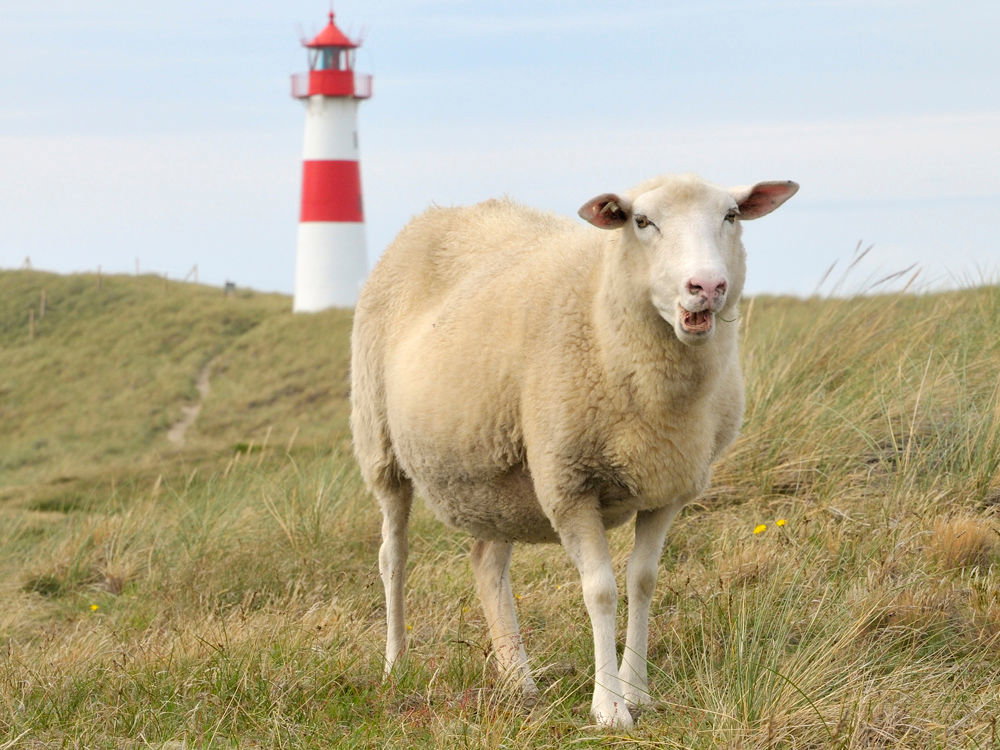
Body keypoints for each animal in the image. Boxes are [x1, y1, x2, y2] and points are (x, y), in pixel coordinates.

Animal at [350, 173, 798, 729]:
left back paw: (517, 680)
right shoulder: (569, 483)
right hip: (381, 444)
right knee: (394, 556)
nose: (707, 287)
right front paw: (609, 707)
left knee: (487, 564)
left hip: (498, 474)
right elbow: (601, 590)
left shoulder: (667, 486)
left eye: (731, 216)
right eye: (641, 221)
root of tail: (438, 213)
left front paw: (638, 690)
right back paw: (396, 664)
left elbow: (643, 581)